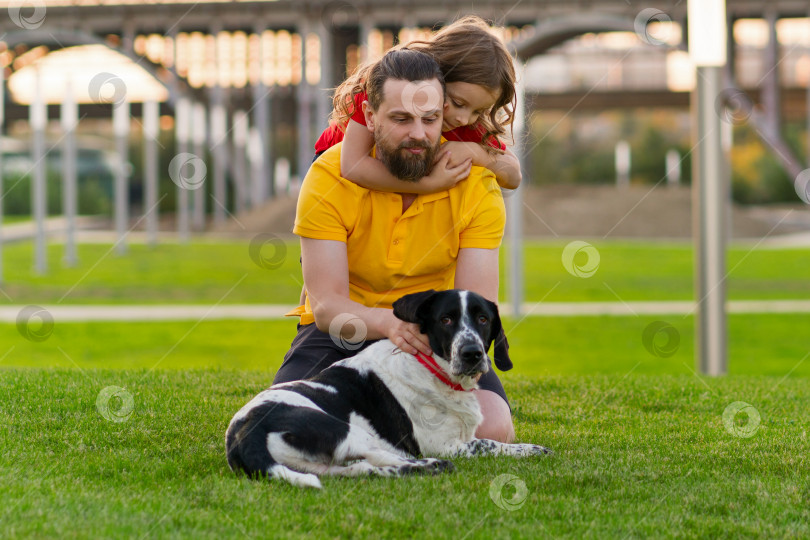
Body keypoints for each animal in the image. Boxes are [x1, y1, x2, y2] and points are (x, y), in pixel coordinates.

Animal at [224, 288, 548, 488]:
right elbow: (489, 444)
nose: (472, 354)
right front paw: (531, 449)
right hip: (348, 431)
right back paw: (432, 466)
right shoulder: (446, 444)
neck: (431, 368)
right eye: (446, 319)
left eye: (483, 319)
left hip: (323, 465)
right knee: (386, 457)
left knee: (364, 469)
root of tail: (245, 434)